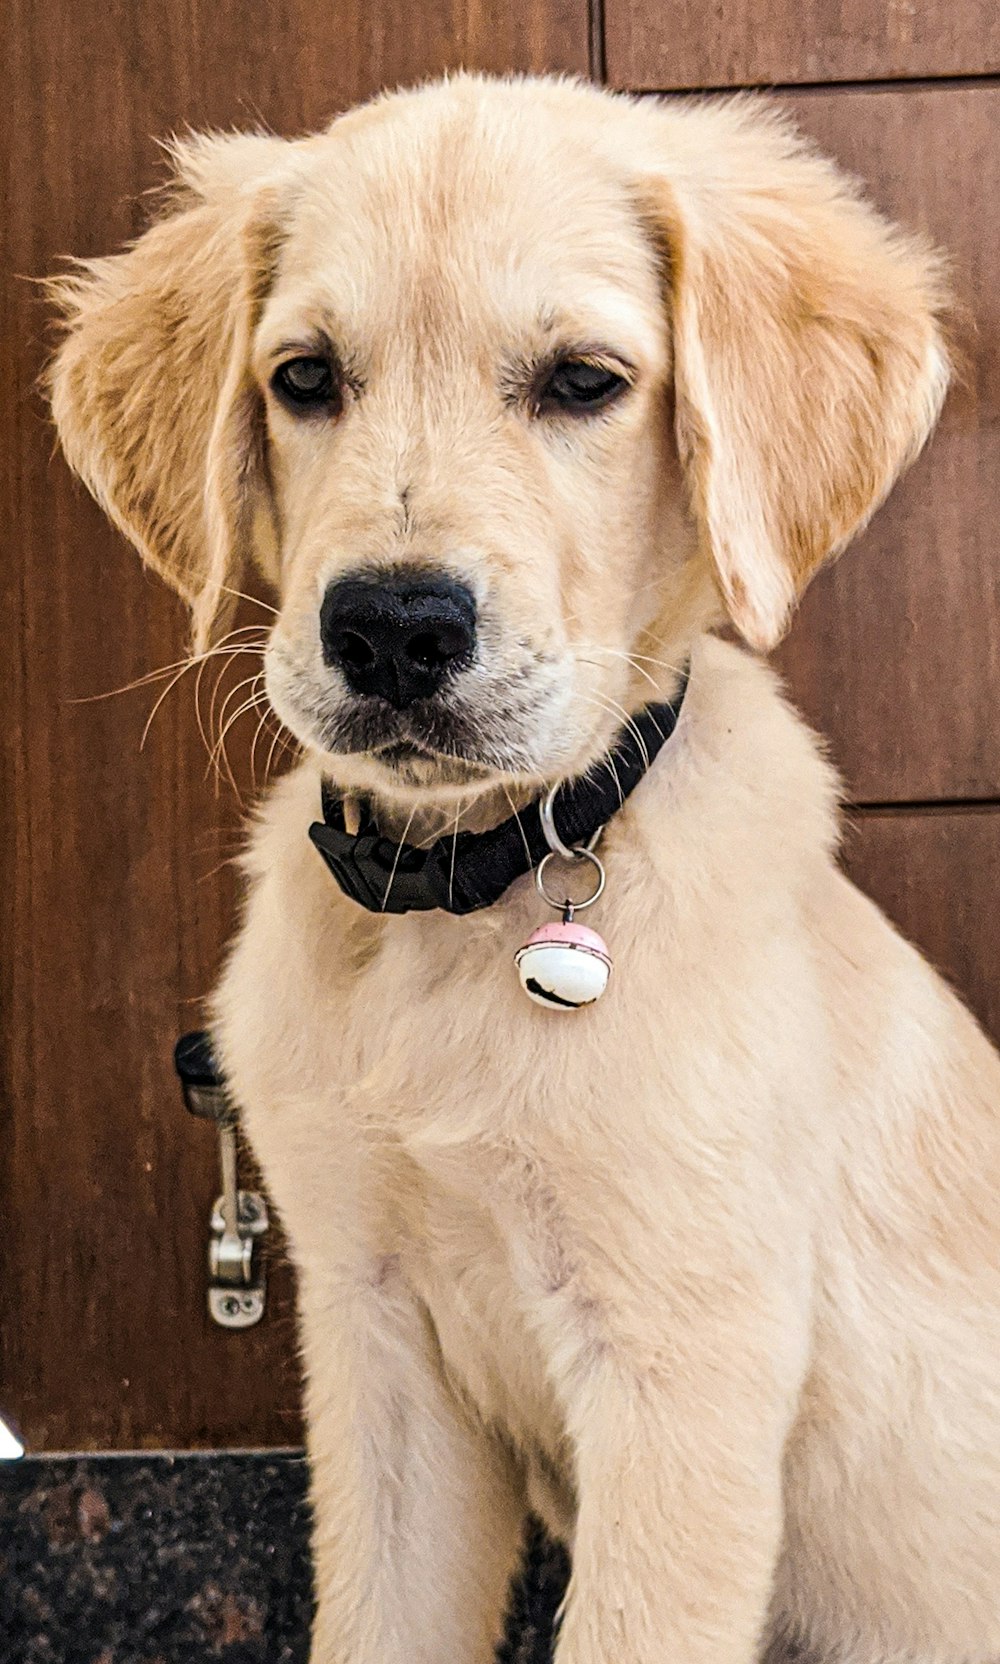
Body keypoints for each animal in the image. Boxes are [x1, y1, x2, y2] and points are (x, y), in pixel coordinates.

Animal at [50, 74, 998, 1664]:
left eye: (582, 382)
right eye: (305, 377)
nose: (392, 628)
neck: (466, 892)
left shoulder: (686, 1373)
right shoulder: (375, 1339)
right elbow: (375, 1626)